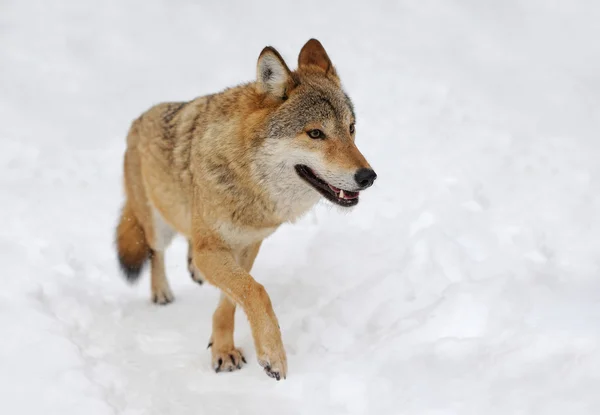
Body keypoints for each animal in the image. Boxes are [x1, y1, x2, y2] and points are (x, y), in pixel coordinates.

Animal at [115, 38, 378, 380]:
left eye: (351, 128)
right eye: (315, 133)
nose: (368, 176)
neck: (248, 181)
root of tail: (137, 122)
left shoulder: (250, 244)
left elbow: (231, 301)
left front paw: (223, 349)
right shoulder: (213, 250)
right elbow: (256, 292)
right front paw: (272, 355)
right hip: (158, 225)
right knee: (154, 251)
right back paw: (162, 293)